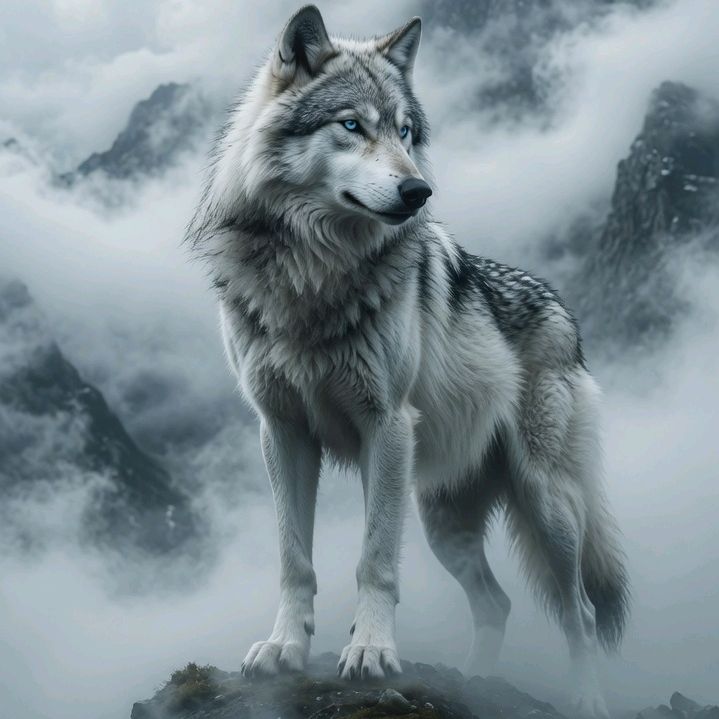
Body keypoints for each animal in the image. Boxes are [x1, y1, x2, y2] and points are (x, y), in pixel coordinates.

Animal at [186, 6, 629, 717]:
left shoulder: (386, 426)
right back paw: (474, 684)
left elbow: (375, 561)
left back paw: (587, 699)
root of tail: (564, 310)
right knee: (497, 603)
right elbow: (293, 557)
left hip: (546, 506)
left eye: (404, 132)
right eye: (351, 126)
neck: (313, 274)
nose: (418, 189)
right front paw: (283, 648)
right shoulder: (280, 431)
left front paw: (370, 653)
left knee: (579, 612)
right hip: (443, 520)